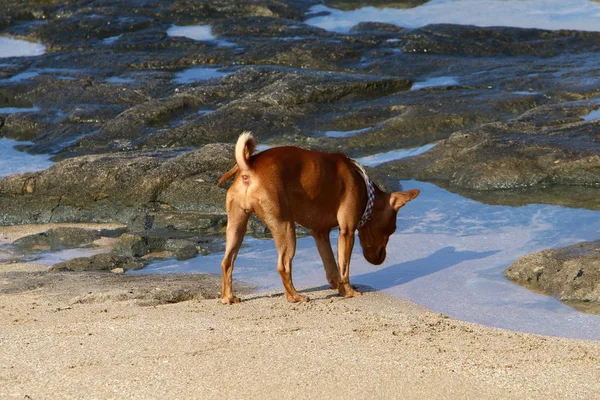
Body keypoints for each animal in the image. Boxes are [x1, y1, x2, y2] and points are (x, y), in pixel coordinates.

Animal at [218, 131, 420, 304]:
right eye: (391, 230)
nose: (381, 259)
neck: (365, 190)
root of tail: (248, 168)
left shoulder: (319, 233)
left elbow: (331, 266)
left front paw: (339, 288)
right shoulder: (347, 231)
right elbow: (344, 267)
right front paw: (349, 291)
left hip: (236, 228)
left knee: (227, 262)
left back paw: (228, 297)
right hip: (286, 228)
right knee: (283, 266)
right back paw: (295, 296)